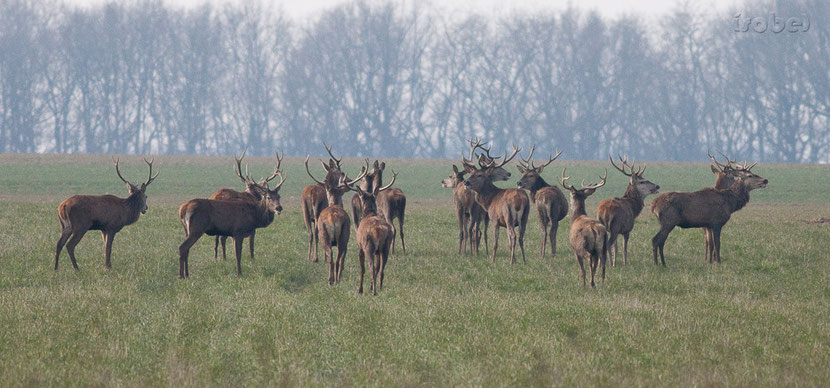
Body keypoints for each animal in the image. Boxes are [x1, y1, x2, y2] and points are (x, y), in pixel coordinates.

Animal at [306, 155, 368, 284]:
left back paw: (330, 279)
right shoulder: (347, 239)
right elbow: (342, 260)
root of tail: (332, 218)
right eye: (342, 173)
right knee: (338, 257)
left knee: (330, 256)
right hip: (343, 237)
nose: (351, 182)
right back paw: (336, 279)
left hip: (325, 235)